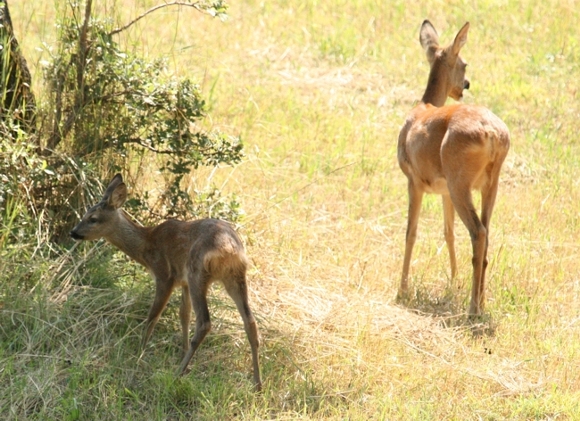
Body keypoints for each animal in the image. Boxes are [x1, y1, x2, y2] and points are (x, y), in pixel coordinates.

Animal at [70, 172, 262, 388]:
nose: (73, 232)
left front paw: (140, 353)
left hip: (198, 273)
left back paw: (178, 373)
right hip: (234, 276)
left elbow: (153, 316)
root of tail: (228, 248)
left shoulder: (165, 275)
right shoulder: (183, 282)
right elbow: (183, 314)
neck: (146, 245)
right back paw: (257, 383)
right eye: (85, 214)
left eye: (93, 219)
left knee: (204, 322)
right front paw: (182, 353)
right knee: (250, 321)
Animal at [396, 21, 510, 314]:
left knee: (478, 231)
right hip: (489, 183)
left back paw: (473, 308)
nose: (466, 85)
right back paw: (481, 300)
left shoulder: (414, 180)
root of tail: (493, 134)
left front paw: (402, 291)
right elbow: (448, 233)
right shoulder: (443, 190)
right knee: (486, 232)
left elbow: (411, 232)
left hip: (461, 182)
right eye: (464, 64)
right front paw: (454, 282)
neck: (423, 106)